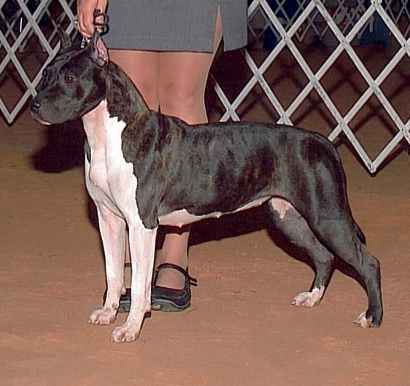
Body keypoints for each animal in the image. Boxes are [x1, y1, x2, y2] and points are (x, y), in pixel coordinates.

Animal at [30, 31, 382, 342]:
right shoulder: (109, 219)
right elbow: (114, 271)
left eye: (70, 78)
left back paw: (371, 317)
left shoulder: (142, 225)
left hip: (328, 217)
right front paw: (108, 312)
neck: (109, 136)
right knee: (323, 256)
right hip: (288, 217)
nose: (34, 105)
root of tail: (324, 142)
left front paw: (131, 328)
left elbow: (141, 281)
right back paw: (312, 298)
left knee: (368, 263)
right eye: (46, 73)